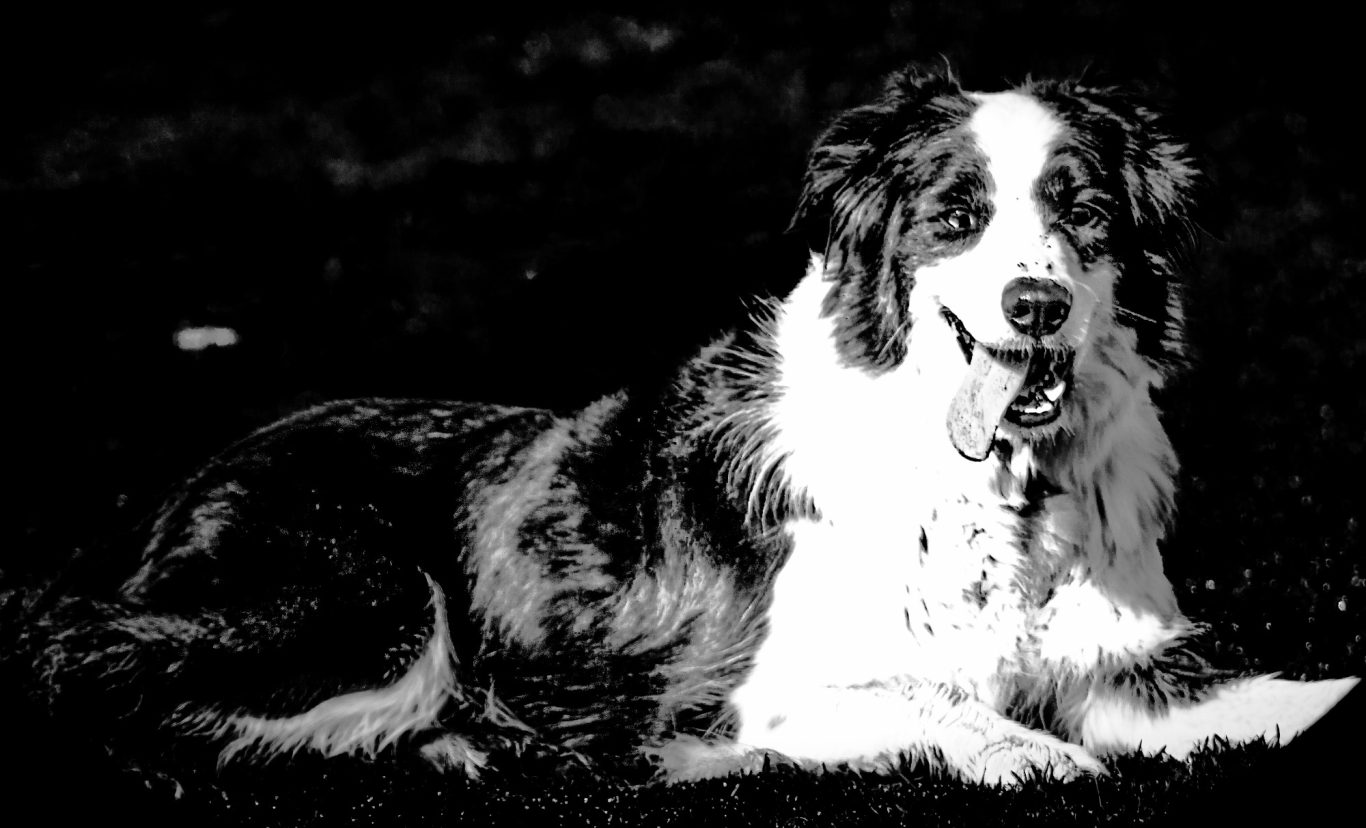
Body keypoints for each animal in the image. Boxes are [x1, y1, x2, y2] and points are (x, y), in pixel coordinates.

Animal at [9, 66, 1358, 787]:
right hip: (370, 607)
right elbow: (938, 702)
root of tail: (188, 481)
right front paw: (1036, 757)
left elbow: (1287, 698)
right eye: (957, 215)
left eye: (1080, 212)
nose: (1034, 305)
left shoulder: (1123, 660)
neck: (991, 490)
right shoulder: (745, 691)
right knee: (91, 660)